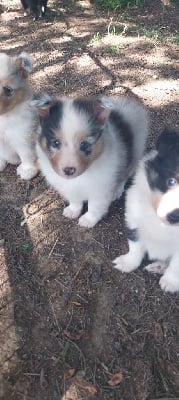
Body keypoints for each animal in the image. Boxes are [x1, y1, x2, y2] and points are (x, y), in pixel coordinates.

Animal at [31, 92, 148, 227]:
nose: (69, 170)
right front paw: (73, 211)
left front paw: (88, 220)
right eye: (56, 142)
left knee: (124, 175)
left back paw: (116, 191)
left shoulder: (100, 188)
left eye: (84, 144)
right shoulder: (71, 188)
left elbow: (94, 206)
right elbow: (75, 200)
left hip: (134, 154)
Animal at [113, 130, 179, 292]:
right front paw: (128, 263)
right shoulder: (134, 220)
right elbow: (135, 246)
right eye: (171, 181)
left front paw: (170, 282)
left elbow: (176, 265)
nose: (174, 217)